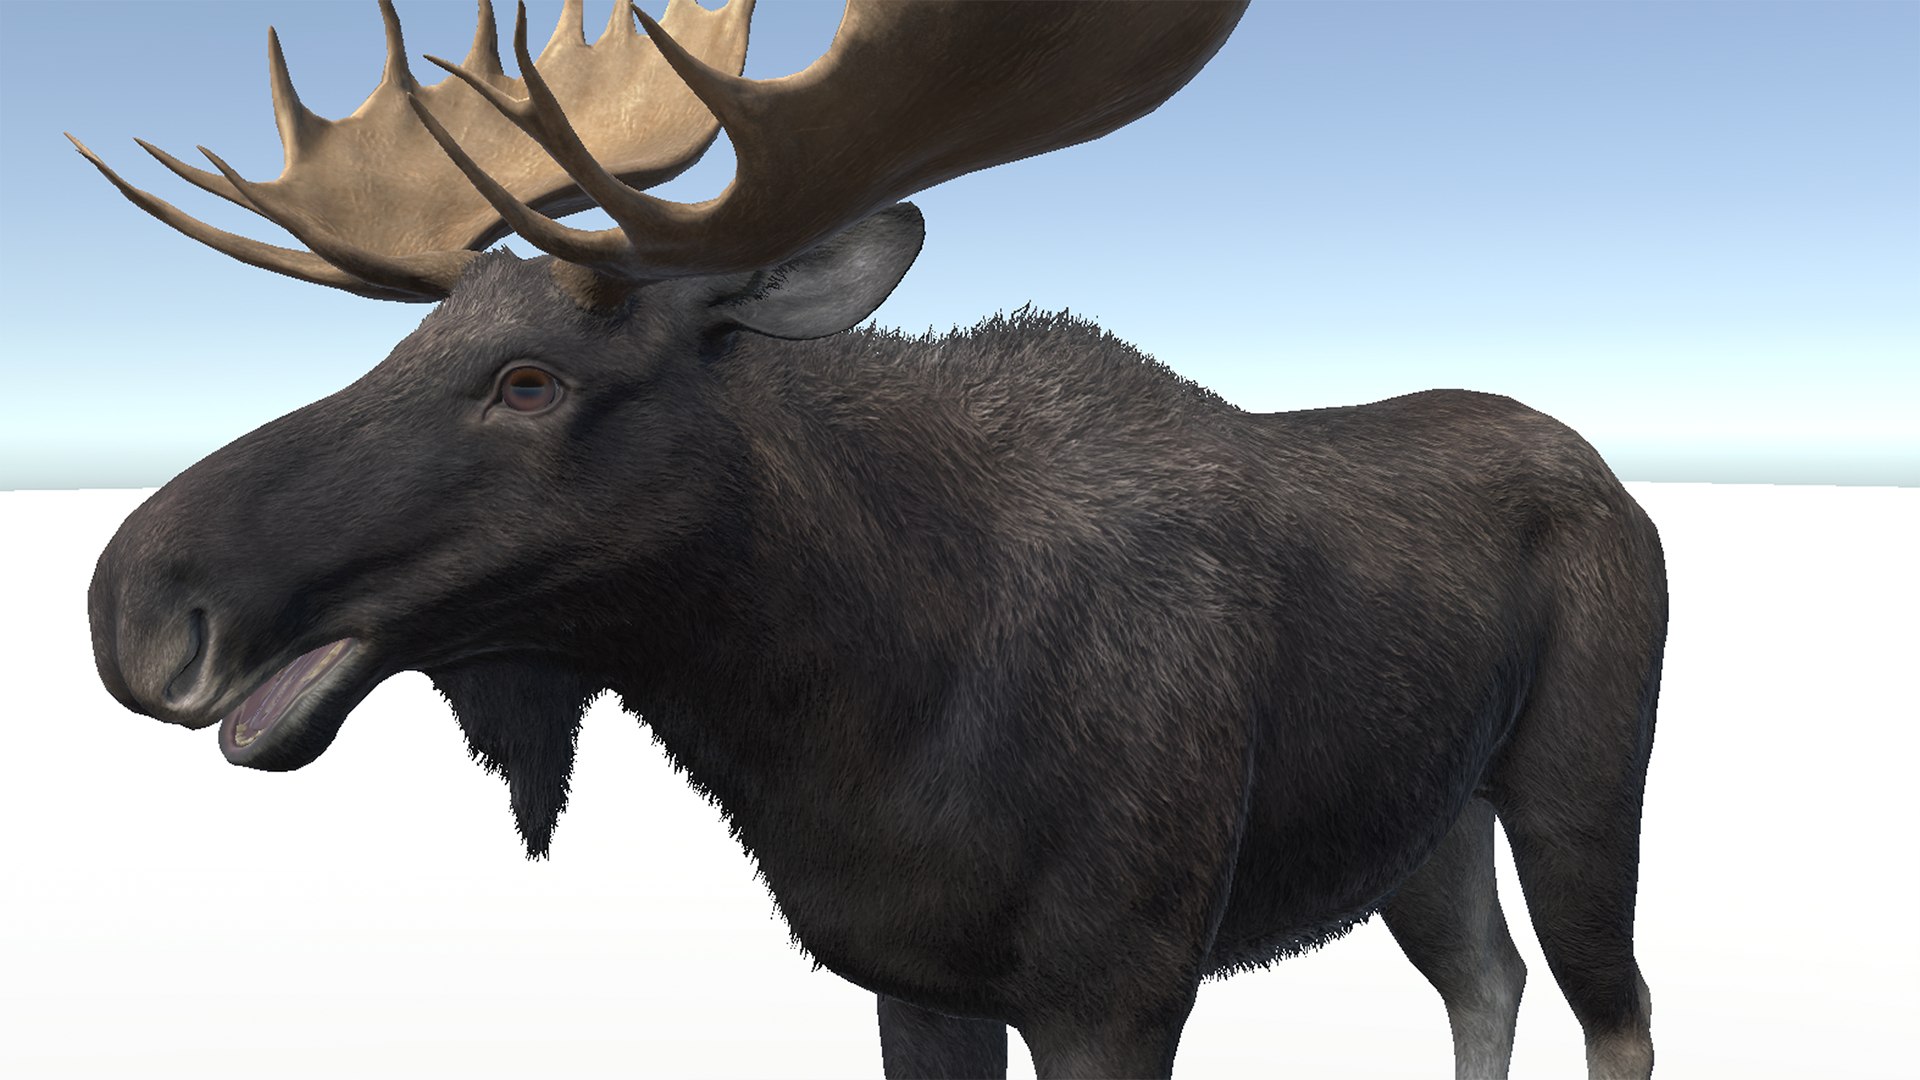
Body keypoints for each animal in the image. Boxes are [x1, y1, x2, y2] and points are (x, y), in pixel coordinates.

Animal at [74, 2, 1665, 1076]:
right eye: (414, 341)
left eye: (531, 381)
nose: (135, 603)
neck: (855, 716)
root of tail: (1609, 473)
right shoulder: (916, 975)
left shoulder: (1123, 982)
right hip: (1428, 823)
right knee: (1483, 978)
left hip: (1580, 783)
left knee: (1618, 1005)